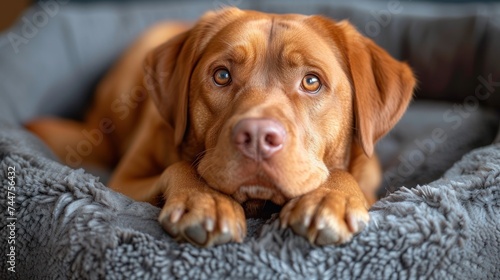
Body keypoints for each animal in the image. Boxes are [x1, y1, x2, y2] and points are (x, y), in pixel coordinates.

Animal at [25, 7, 416, 247]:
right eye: (222, 75)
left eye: (311, 82)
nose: (257, 137)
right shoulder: (123, 182)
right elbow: (181, 166)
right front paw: (206, 200)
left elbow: (343, 175)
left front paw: (328, 197)